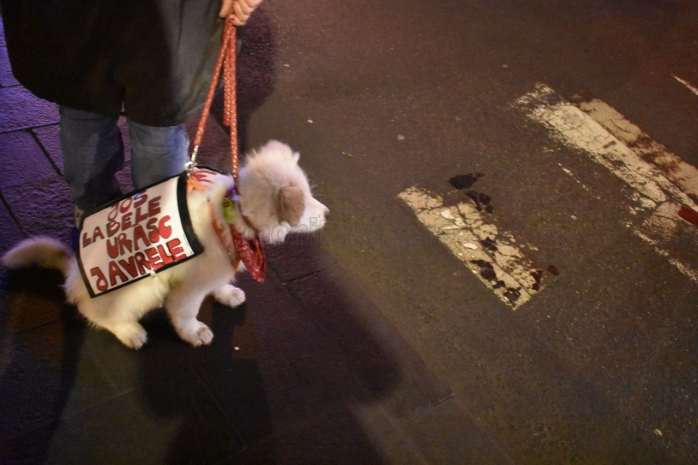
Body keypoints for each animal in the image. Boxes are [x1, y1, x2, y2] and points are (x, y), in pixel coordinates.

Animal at [1, 141, 328, 348]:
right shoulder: (188, 288)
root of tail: (72, 274)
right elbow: (185, 315)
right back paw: (129, 332)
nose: (327, 214)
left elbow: (219, 284)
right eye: (305, 203)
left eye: (311, 194)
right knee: (93, 312)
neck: (229, 213)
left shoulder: (215, 269)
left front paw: (226, 294)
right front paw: (194, 334)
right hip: (139, 290)